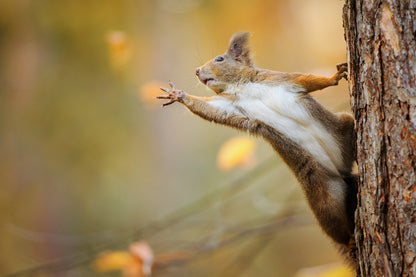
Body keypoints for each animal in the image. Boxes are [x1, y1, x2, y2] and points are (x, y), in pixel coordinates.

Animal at [156, 32, 358, 260]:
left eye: (219, 59)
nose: (197, 71)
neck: (241, 86)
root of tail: (342, 171)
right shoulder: (227, 105)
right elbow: (207, 108)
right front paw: (178, 95)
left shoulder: (278, 79)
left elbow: (306, 80)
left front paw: (334, 77)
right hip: (324, 197)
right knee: (335, 226)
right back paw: (349, 241)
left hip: (343, 125)